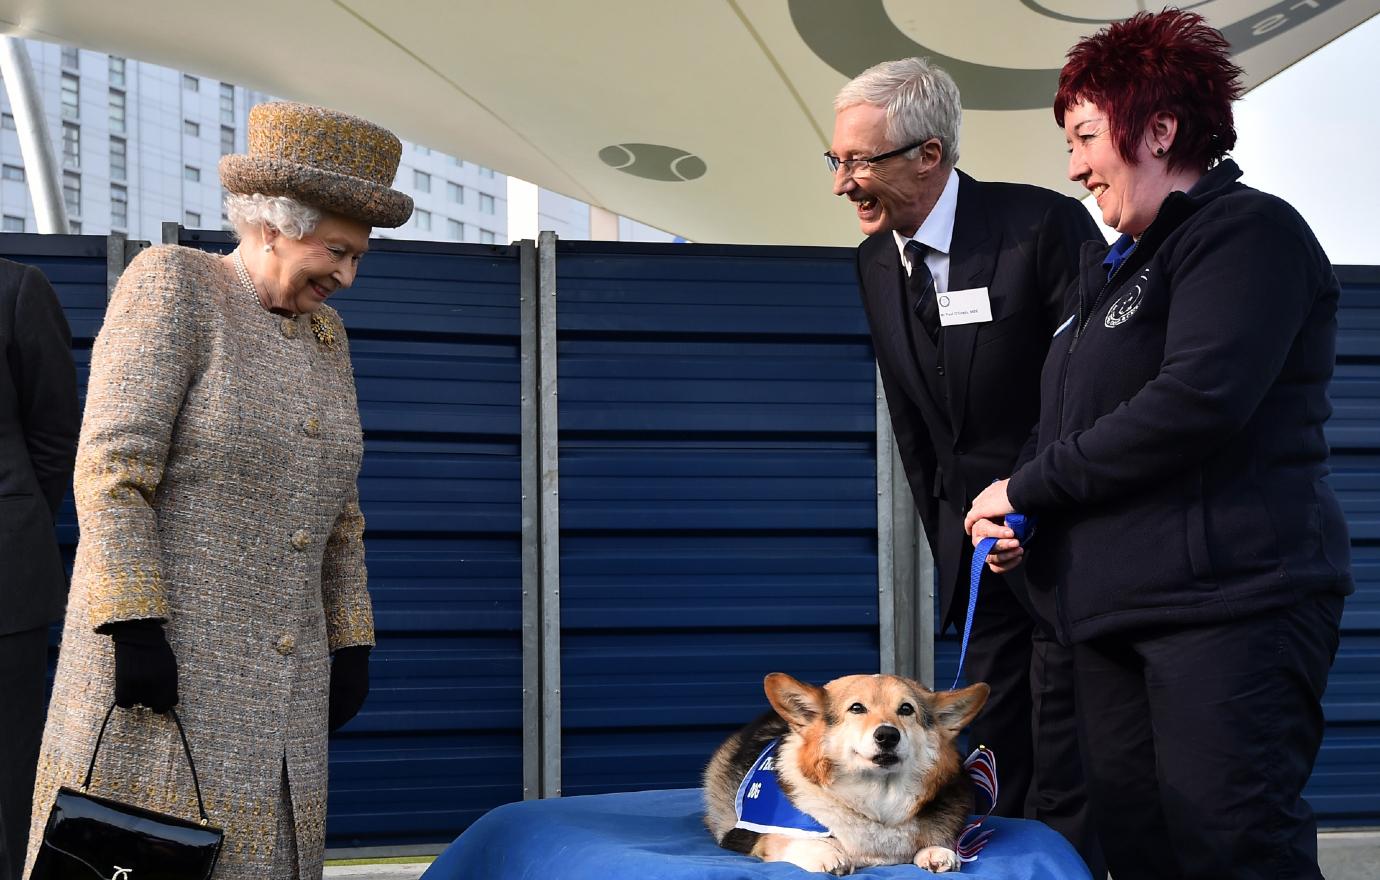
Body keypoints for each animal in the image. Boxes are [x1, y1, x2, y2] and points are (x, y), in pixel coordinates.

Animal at [706, 675, 988, 877]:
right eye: (856, 708)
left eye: (906, 709)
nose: (887, 735)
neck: (877, 800)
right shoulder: (748, 835)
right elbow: (782, 837)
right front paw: (825, 853)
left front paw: (936, 851)